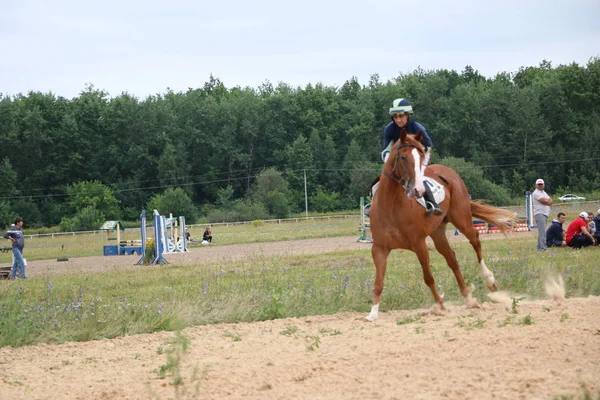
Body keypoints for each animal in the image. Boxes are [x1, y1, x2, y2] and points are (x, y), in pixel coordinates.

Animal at [366, 129, 516, 322]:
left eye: (421, 157)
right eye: (403, 157)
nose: (418, 191)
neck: (391, 205)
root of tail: (450, 171)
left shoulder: (419, 245)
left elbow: (428, 277)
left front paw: (440, 305)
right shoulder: (379, 248)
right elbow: (378, 282)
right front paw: (373, 313)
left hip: (461, 218)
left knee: (475, 240)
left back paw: (489, 280)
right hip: (438, 232)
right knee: (452, 259)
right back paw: (468, 297)